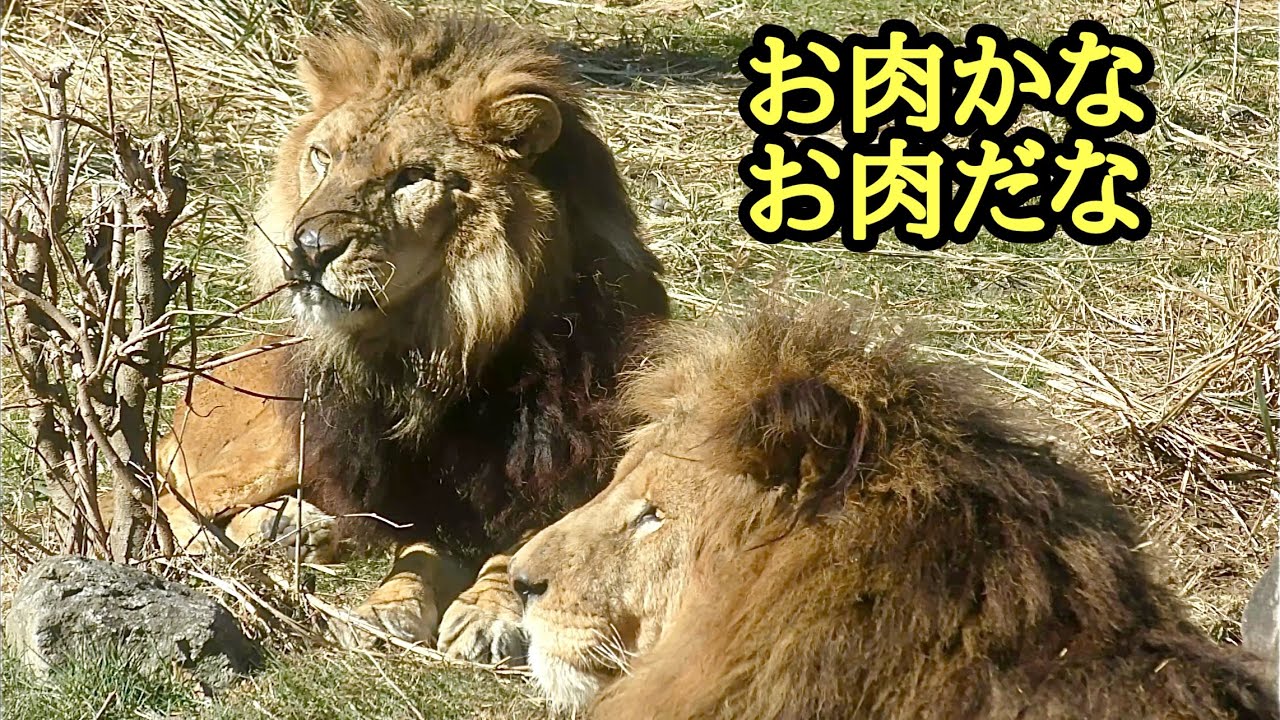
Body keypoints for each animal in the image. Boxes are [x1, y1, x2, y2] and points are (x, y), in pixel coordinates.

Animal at [107, 1, 668, 662]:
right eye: (322, 157)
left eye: (413, 176)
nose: (308, 249)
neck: (448, 345)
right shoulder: (413, 494)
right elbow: (417, 556)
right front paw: (386, 608)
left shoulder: (576, 476)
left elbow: (525, 548)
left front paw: (485, 613)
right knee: (161, 502)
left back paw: (296, 529)